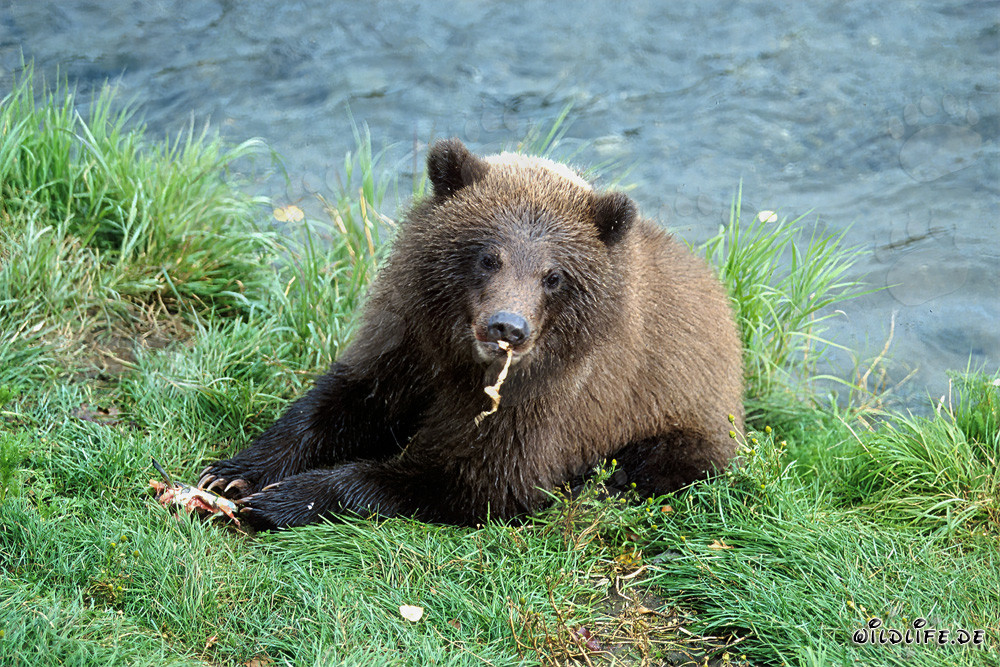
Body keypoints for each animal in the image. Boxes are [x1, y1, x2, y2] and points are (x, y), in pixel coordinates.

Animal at [197, 138, 744, 530]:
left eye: (553, 275)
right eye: (488, 256)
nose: (508, 327)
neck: (465, 361)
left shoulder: (552, 402)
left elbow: (472, 480)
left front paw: (287, 498)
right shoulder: (410, 339)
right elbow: (346, 399)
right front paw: (232, 473)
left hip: (684, 424)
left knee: (653, 466)